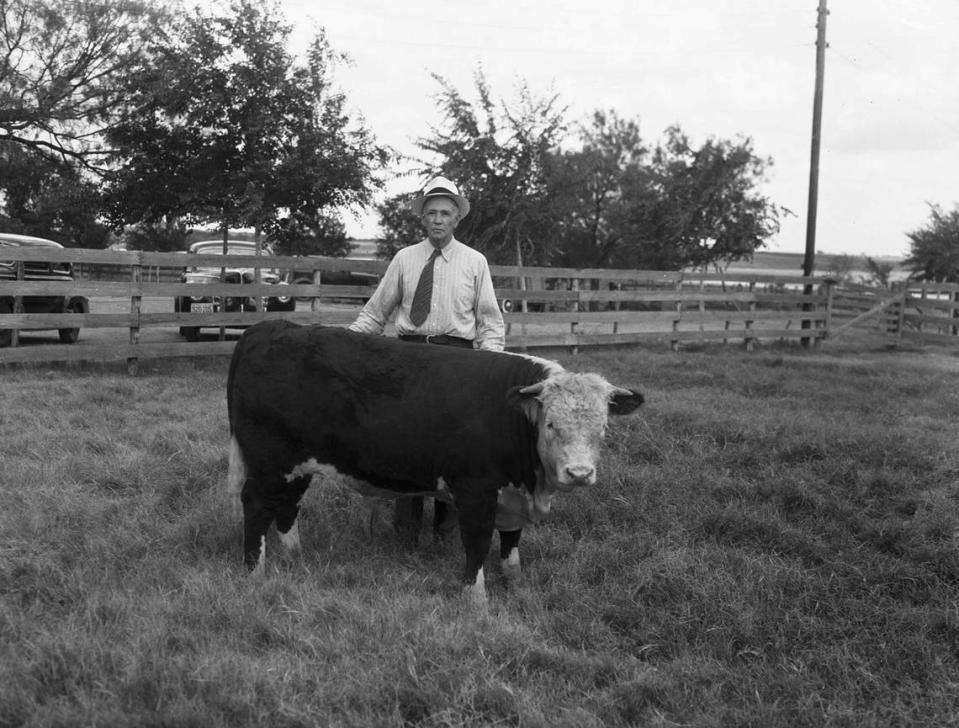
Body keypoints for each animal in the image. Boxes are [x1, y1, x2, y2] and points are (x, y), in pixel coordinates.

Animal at [226, 322, 644, 604]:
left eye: (603, 427)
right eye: (551, 423)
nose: (579, 473)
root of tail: (269, 327)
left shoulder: (511, 495)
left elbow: (511, 543)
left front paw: (516, 584)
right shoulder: (475, 488)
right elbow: (477, 541)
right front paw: (476, 599)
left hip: (298, 463)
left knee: (288, 505)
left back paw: (295, 556)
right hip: (268, 461)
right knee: (257, 504)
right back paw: (254, 571)